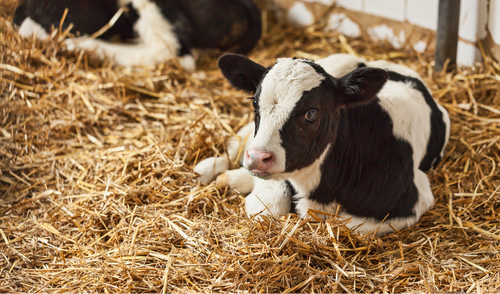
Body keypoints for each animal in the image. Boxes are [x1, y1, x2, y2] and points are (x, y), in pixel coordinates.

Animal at [197, 52, 452, 235]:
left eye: (311, 113)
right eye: (254, 103)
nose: (259, 157)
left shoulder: (415, 197)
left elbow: (344, 224)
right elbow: (268, 206)